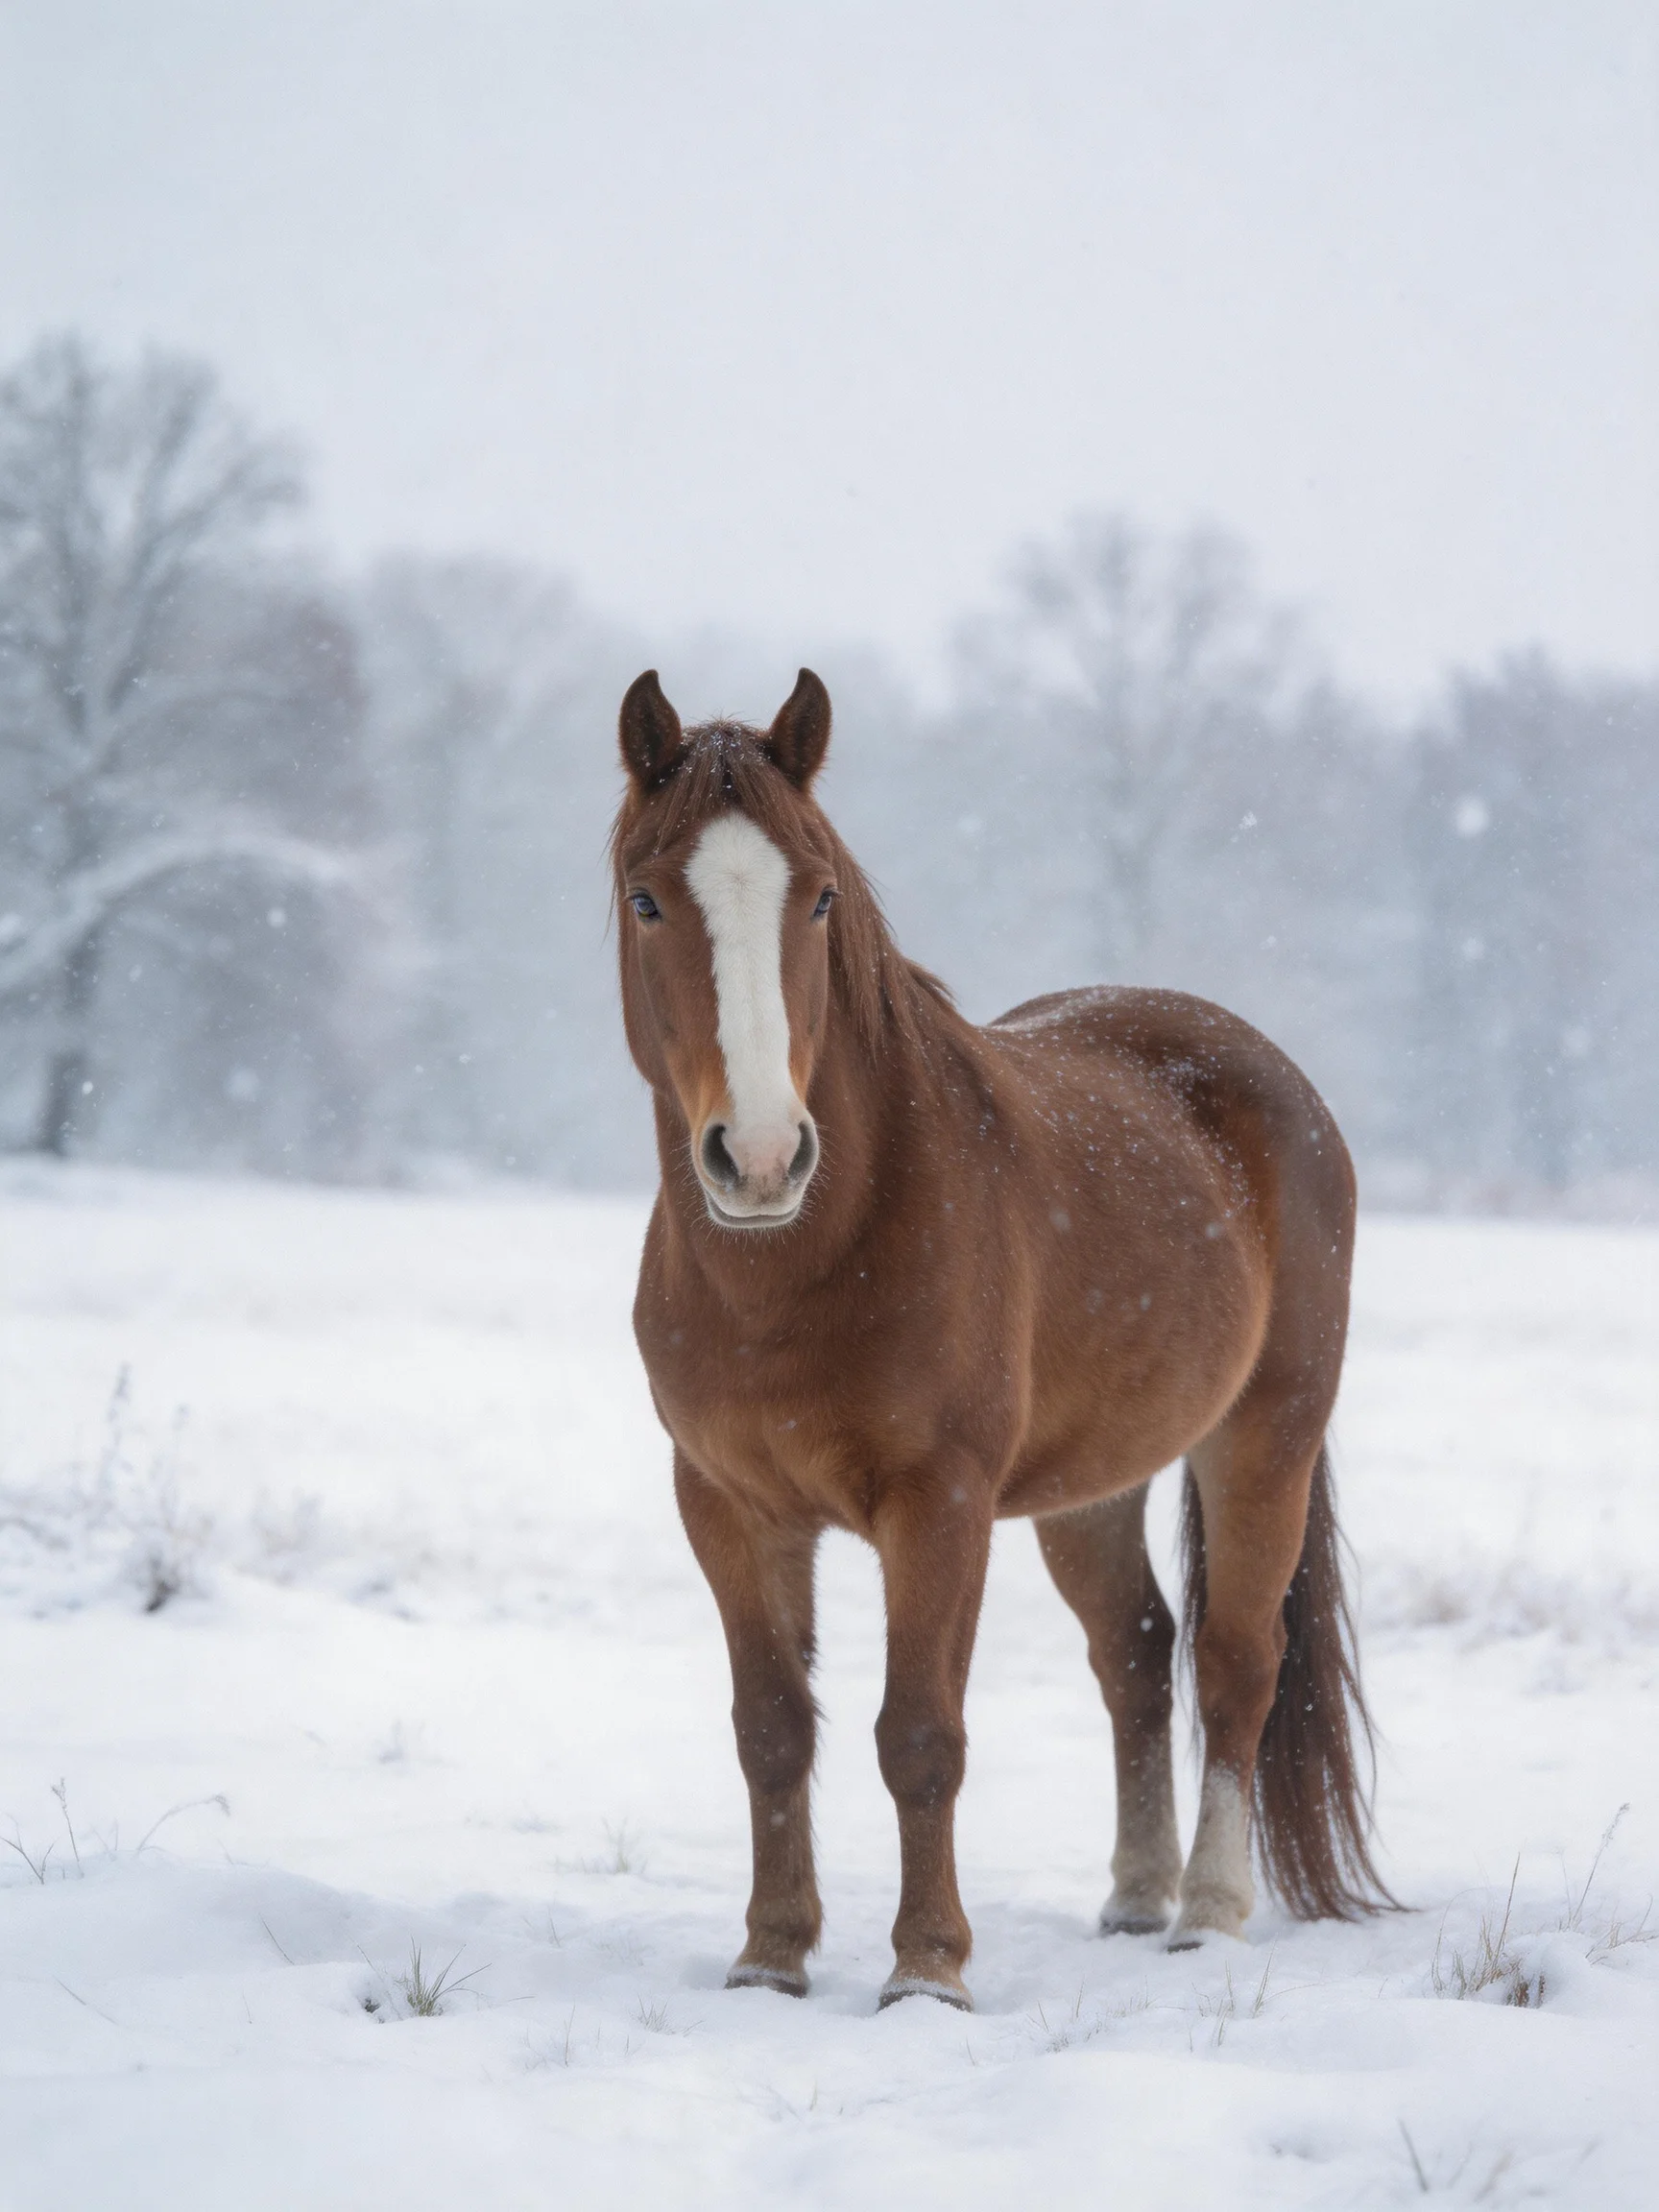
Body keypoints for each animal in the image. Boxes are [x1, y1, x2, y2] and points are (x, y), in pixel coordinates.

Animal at [612, 665, 1389, 2012]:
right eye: (648, 896)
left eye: (820, 895)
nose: (758, 1157)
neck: (799, 1264)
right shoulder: (726, 1504)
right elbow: (772, 1730)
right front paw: (770, 1958)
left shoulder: (941, 1503)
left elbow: (919, 1736)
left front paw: (927, 1972)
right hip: (1092, 1487)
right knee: (1138, 1651)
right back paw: (1134, 1899)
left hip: (1266, 1439)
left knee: (1238, 1658)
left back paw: (1208, 1914)